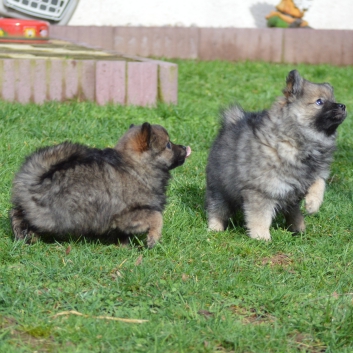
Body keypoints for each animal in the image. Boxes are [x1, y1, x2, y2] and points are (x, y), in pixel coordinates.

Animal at [11, 122, 191, 246]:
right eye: (168, 145)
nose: (184, 148)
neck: (136, 168)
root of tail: (35, 179)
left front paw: (123, 245)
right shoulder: (128, 214)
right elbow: (156, 217)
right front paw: (153, 238)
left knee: (16, 213)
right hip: (55, 218)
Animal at [205, 69, 346, 239]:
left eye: (333, 100)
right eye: (319, 102)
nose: (343, 106)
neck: (296, 140)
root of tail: (230, 124)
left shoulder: (314, 174)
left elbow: (320, 183)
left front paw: (313, 204)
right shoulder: (261, 190)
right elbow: (260, 216)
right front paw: (261, 237)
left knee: (293, 212)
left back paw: (299, 228)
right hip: (219, 189)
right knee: (217, 210)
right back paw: (215, 229)